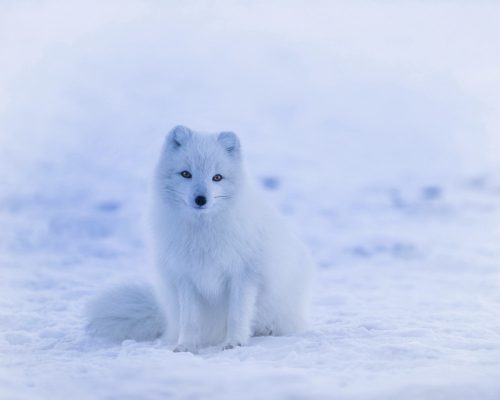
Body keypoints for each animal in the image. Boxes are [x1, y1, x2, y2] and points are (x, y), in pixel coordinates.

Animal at [86, 126, 312, 352]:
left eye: (217, 177)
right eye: (186, 174)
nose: (201, 199)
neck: (203, 233)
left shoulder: (244, 275)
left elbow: (237, 315)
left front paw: (234, 342)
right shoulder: (185, 276)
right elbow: (190, 320)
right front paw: (186, 346)